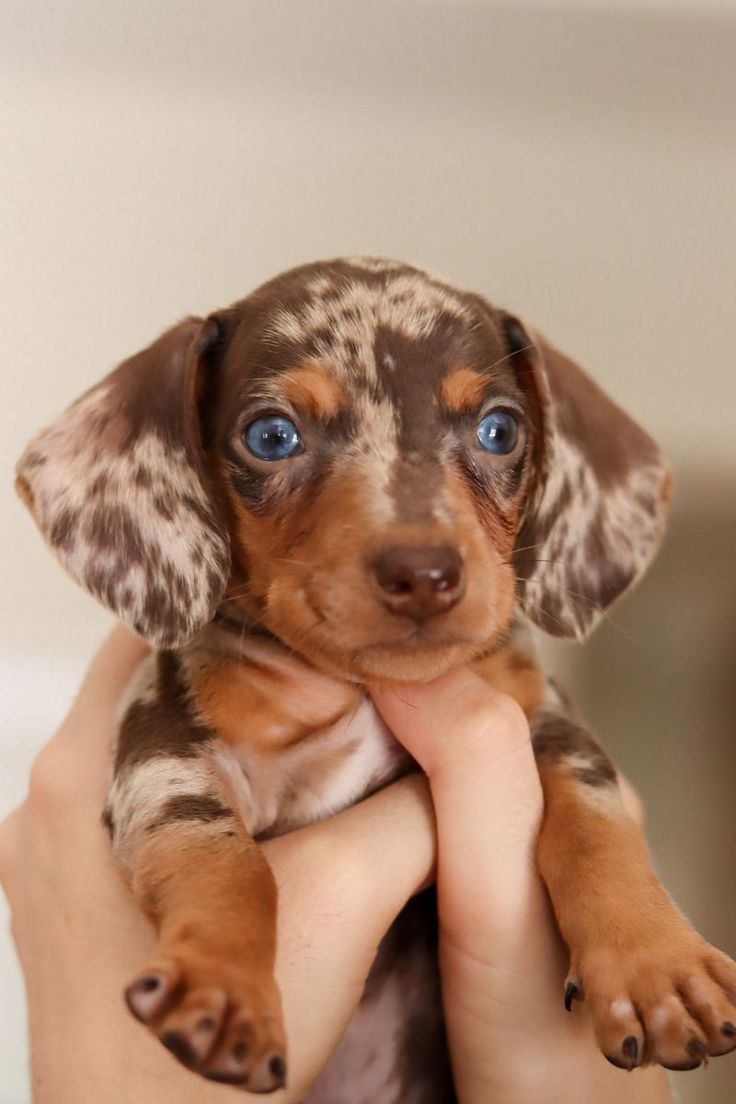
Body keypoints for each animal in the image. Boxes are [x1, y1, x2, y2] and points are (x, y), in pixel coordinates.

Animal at [15, 256, 736, 1095]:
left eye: (499, 429)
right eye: (271, 436)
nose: (424, 575)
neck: (357, 685)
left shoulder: (546, 720)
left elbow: (600, 828)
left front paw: (656, 961)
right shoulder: (162, 754)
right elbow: (226, 864)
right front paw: (224, 982)